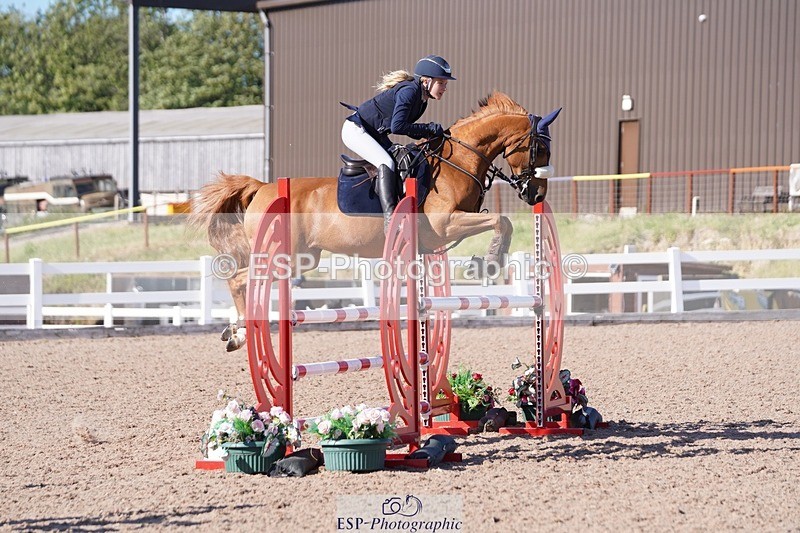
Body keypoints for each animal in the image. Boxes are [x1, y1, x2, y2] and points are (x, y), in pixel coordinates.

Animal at [190, 92, 561, 350]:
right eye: (540, 149)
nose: (536, 195)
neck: (459, 162)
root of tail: (263, 187)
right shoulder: (445, 224)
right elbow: (501, 220)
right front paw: (490, 261)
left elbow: (501, 221)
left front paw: (487, 261)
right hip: (287, 256)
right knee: (239, 279)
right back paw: (238, 333)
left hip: (304, 258)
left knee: (244, 279)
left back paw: (236, 333)